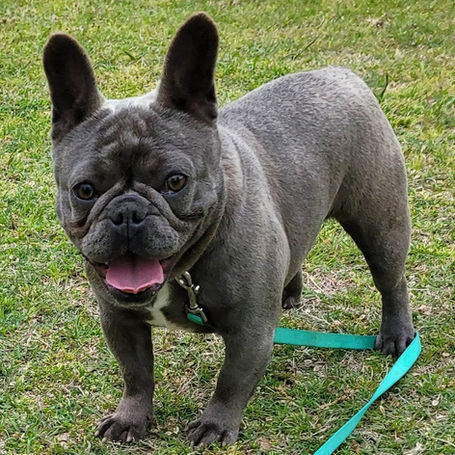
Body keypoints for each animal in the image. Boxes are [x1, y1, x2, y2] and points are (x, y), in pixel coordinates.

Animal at [43, 12, 414, 446]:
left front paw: (215, 425)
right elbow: (136, 374)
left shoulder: (250, 332)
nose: (128, 213)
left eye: (175, 181)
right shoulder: (120, 320)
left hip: (380, 221)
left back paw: (396, 334)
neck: (184, 272)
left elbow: (232, 381)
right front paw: (130, 418)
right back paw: (288, 292)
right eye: (84, 190)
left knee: (391, 280)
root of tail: (342, 74)